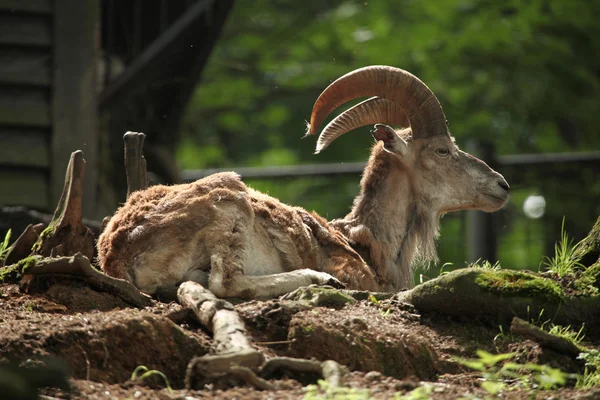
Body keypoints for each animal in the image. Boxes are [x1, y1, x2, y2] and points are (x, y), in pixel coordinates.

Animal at [96, 65, 508, 298]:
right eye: (442, 150)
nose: (501, 185)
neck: (366, 243)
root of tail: (117, 249)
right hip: (229, 208)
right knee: (226, 283)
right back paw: (318, 279)